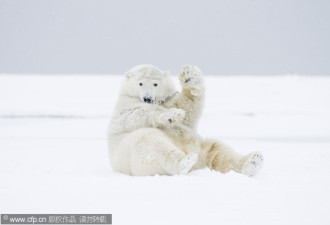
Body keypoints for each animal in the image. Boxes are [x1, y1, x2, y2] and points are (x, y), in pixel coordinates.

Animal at [107, 64, 262, 177]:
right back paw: (185, 161)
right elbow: (131, 113)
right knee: (151, 143)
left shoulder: (170, 102)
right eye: (140, 83)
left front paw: (190, 76)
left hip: (200, 146)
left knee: (218, 152)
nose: (147, 98)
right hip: (136, 155)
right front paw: (171, 115)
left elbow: (188, 110)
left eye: (155, 84)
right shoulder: (123, 105)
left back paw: (253, 161)